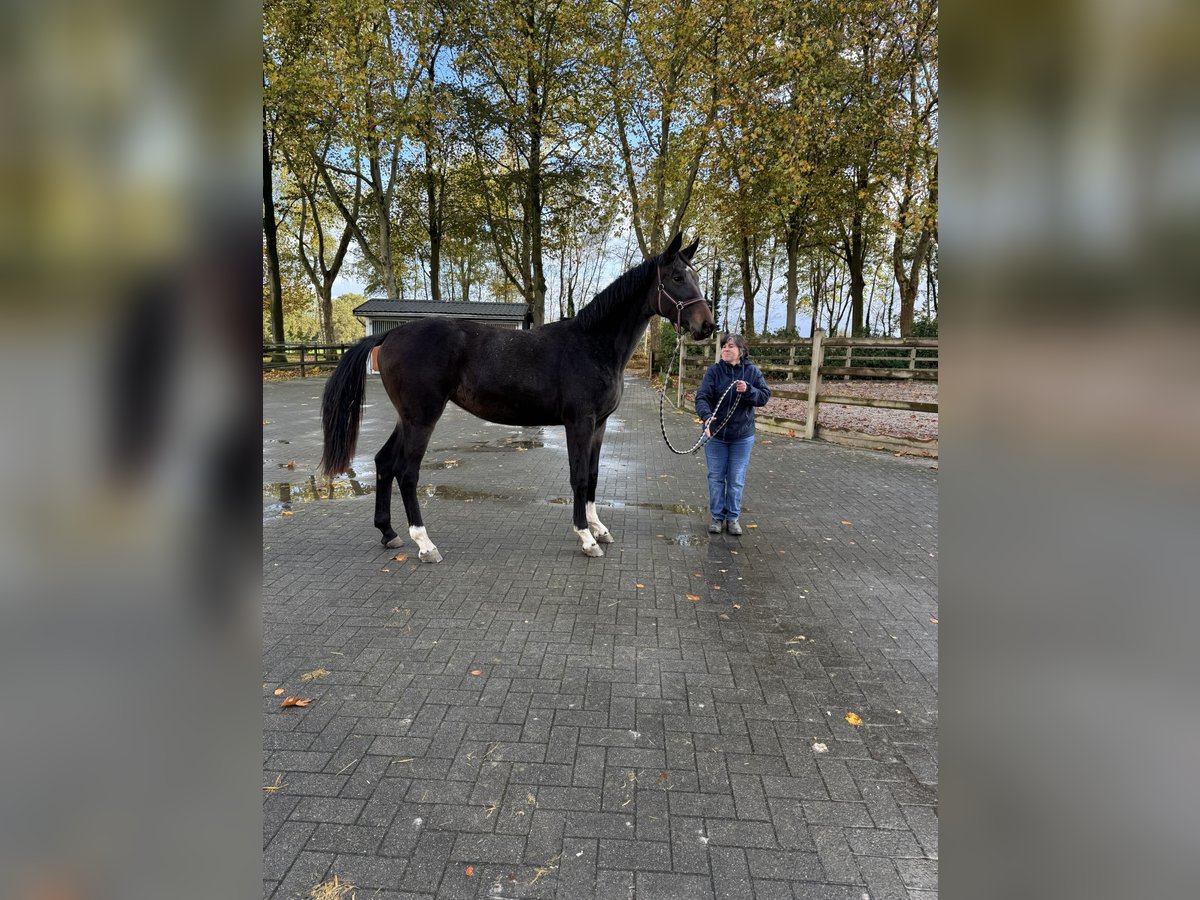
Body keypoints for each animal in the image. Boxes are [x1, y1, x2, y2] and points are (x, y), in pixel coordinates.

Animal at [319, 233, 715, 561]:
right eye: (676, 278)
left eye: (695, 276)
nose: (707, 326)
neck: (593, 344)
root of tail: (389, 335)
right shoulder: (579, 423)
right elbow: (578, 477)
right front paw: (586, 538)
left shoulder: (600, 425)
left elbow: (594, 475)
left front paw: (599, 528)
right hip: (422, 418)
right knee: (406, 472)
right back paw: (425, 544)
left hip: (407, 418)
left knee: (385, 463)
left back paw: (389, 533)